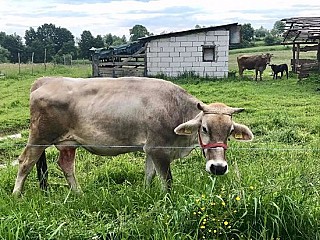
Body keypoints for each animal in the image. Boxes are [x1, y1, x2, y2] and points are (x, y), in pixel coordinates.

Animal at [12, 77, 254, 195]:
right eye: (204, 128)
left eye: (230, 132)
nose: (218, 168)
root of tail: (45, 80)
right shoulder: (158, 149)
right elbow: (167, 181)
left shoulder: (150, 149)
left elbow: (149, 175)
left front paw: (146, 193)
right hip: (39, 137)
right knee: (25, 162)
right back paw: (17, 195)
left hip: (68, 142)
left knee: (66, 165)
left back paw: (78, 193)